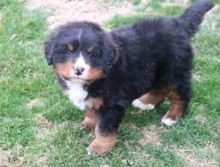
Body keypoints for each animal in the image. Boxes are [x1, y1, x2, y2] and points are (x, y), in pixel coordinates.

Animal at [43, 0, 214, 155]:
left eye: (92, 53)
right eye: (68, 51)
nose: (78, 70)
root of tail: (179, 24)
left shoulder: (112, 103)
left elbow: (104, 128)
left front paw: (98, 147)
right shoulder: (93, 99)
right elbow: (91, 111)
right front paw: (88, 124)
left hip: (175, 71)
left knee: (182, 94)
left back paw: (172, 117)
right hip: (154, 70)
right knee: (159, 87)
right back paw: (146, 102)